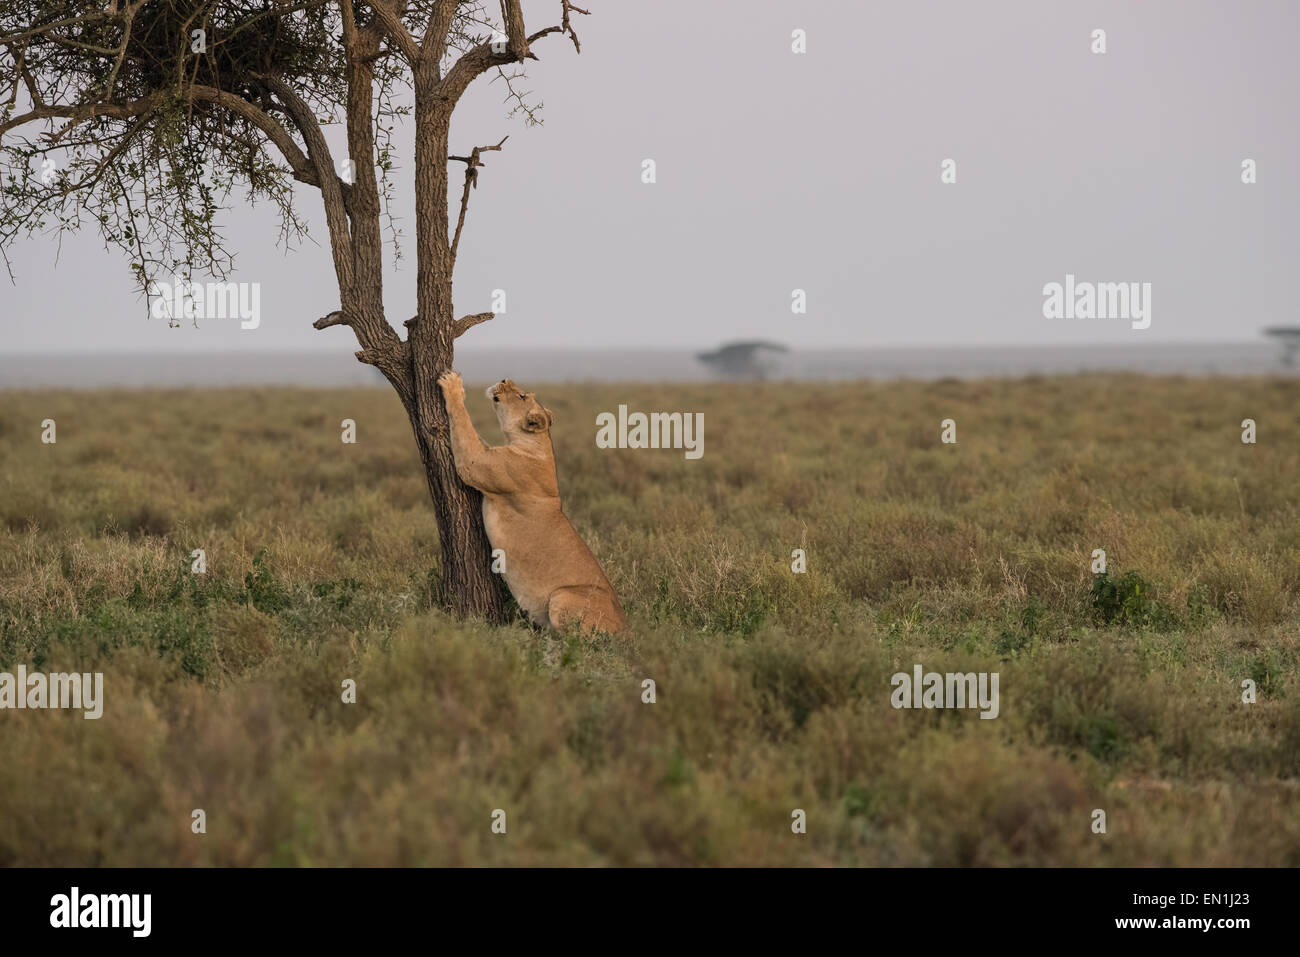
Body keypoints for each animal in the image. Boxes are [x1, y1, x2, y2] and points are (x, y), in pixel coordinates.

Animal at [437, 371, 629, 635]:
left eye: (521, 396)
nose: (504, 379)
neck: (538, 443)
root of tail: (629, 628)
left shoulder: (475, 463)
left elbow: (464, 424)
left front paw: (453, 385)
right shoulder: (486, 452)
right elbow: (474, 434)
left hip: (562, 596)